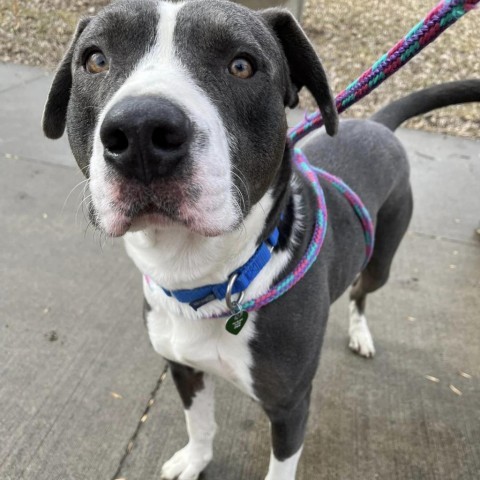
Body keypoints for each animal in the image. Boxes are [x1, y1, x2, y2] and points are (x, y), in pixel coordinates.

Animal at [42, 1, 480, 478]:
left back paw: (360, 333)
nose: (141, 129)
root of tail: (378, 125)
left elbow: (281, 464)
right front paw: (195, 459)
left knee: (362, 291)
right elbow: (200, 424)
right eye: (95, 60)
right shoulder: (183, 369)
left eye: (242, 65)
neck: (205, 278)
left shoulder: (290, 406)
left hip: (382, 256)